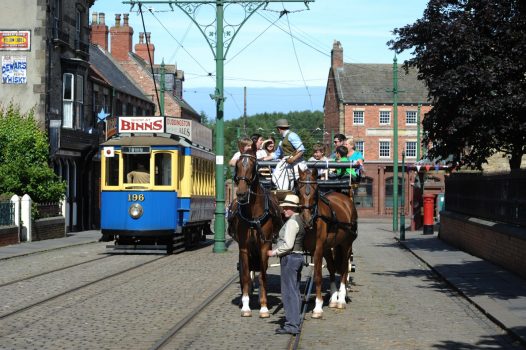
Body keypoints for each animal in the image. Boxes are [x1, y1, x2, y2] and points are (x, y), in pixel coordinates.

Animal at [228, 147, 284, 318]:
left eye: (253, 165)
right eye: (237, 164)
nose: (241, 193)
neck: (253, 215)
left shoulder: (265, 246)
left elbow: (263, 276)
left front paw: (264, 307)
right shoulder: (244, 247)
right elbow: (246, 275)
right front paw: (245, 306)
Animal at [296, 168, 358, 318]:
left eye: (315, 192)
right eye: (299, 190)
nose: (306, 219)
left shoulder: (318, 249)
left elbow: (318, 276)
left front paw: (318, 307)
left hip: (346, 245)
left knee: (343, 268)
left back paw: (341, 300)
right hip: (329, 247)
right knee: (331, 268)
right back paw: (334, 298)